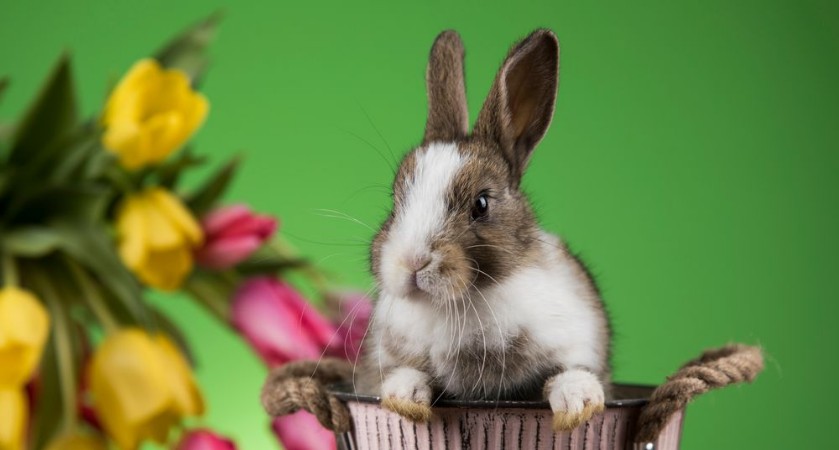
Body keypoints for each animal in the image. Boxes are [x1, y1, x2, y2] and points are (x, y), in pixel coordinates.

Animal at [358, 29, 611, 432]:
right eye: (396, 201)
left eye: (481, 204)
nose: (411, 262)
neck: (458, 304)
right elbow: (408, 373)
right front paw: (405, 399)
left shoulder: (578, 341)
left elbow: (568, 372)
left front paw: (579, 405)